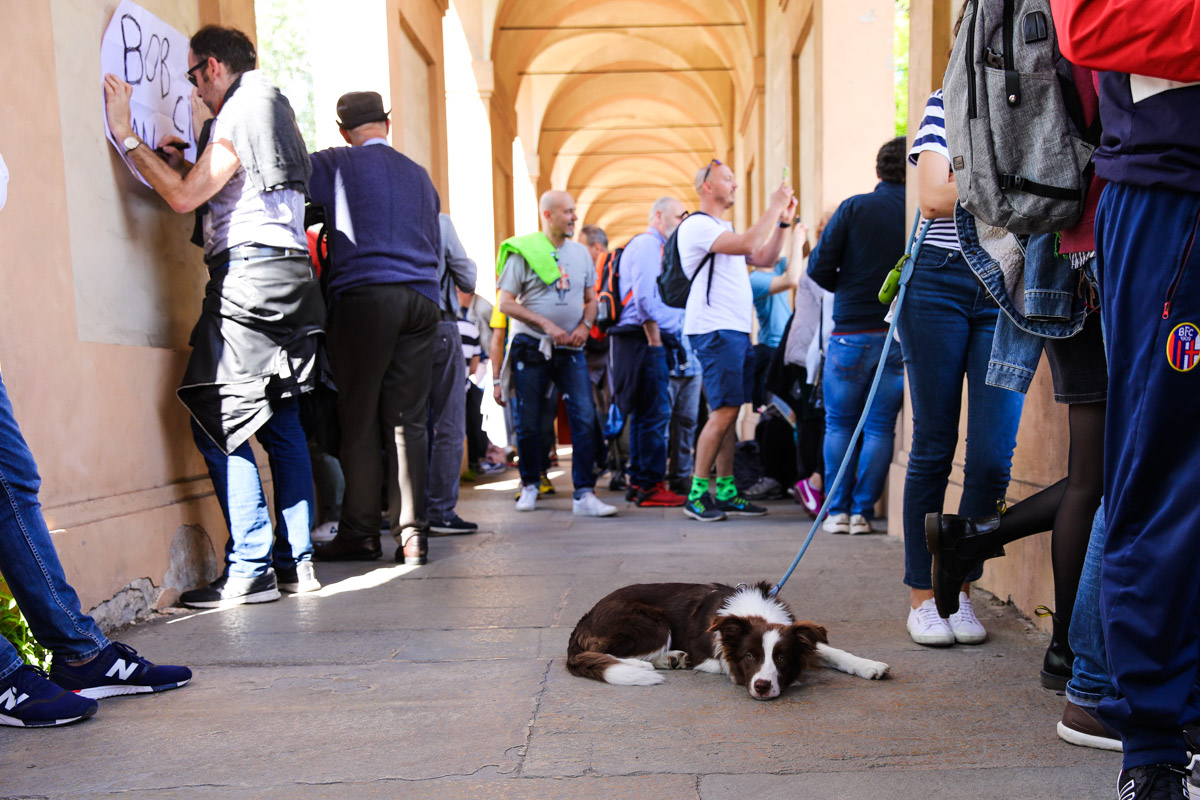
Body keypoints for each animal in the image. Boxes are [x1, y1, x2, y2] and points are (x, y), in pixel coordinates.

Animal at [564, 582, 892, 700]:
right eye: (749, 656)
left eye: (781, 658)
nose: (762, 687)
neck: (755, 612)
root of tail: (583, 620)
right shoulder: (714, 657)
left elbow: (832, 650)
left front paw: (869, 665)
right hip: (651, 622)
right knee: (603, 652)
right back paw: (648, 665)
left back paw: (671, 658)